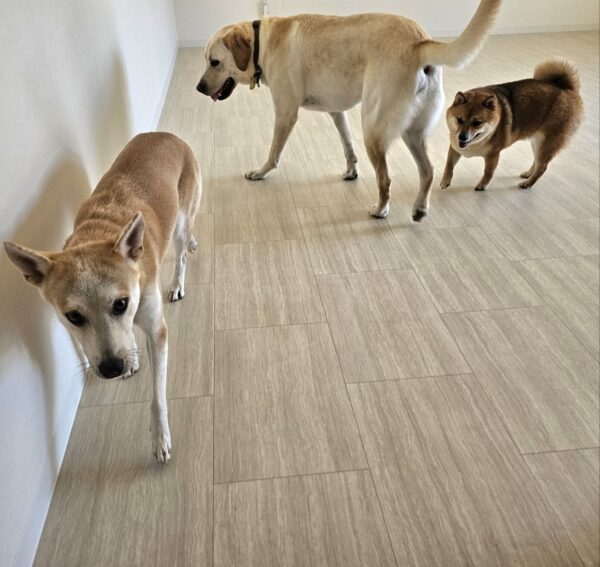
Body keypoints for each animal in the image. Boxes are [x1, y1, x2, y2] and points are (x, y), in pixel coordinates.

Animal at [4, 132, 201, 464]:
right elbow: (126, 334)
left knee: (182, 249)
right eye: (73, 317)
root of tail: (165, 135)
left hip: (182, 218)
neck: (98, 232)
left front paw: (160, 438)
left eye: (120, 304)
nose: (111, 368)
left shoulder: (156, 330)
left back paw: (177, 282)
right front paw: (131, 357)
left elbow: (157, 397)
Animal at [196, 0, 501, 220]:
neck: (262, 43)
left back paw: (380, 210)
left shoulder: (285, 113)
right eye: (207, 60)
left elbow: (273, 153)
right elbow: (347, 146)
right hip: (412, 133)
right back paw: (419, 209)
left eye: (214, 62)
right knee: (427, 170)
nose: (199, 88)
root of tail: (419, 42)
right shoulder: (336, 112)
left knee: (385, 179)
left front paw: (260, 172)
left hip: (373, 128)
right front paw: (351, 170)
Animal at [440, 59, 583, 191]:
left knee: (542, 167)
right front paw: (445, 181)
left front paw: (482, 185)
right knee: (537, 161)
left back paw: (527, 183)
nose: (462, 137)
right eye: (459, 120)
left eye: (477, 123)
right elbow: (449, 165)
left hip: (546, 143)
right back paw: (528, 174)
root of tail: (565, 89)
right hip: (537, 142)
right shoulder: (455, 147)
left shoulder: (493, 155)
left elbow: (488, 172)